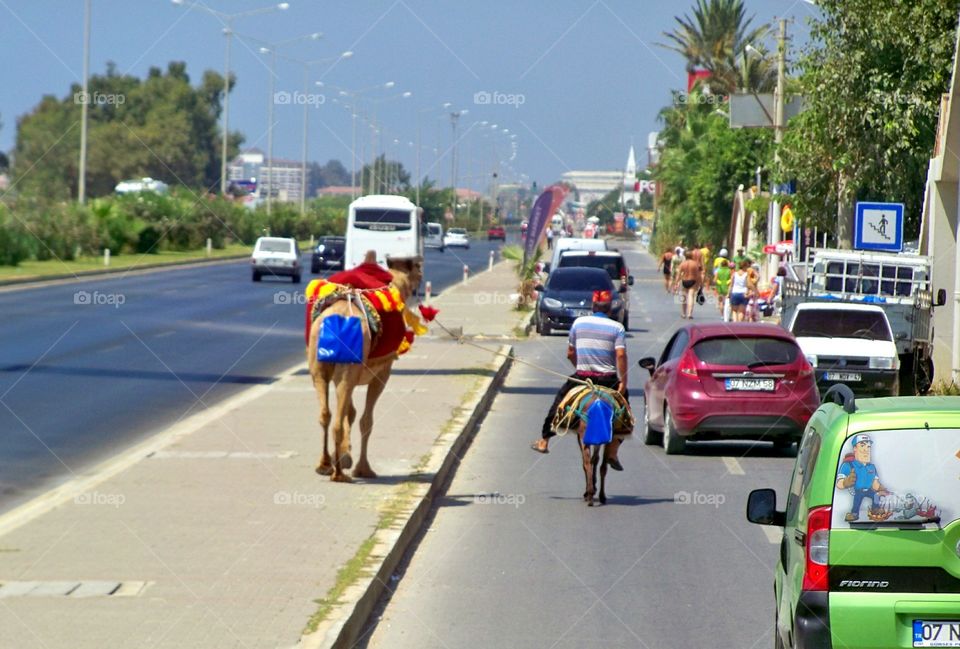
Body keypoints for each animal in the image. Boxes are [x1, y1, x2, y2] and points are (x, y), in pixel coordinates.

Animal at [308, 256, 424, 480]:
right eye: (417, 268)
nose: (420, 280)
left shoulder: (349, 375)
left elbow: (350, 413)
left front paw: (346, 457)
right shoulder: (382, 373)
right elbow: (365, 420)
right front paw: (363, 468)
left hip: (321, 369)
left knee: (325, 414)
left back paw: (324, 464)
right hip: (350, 369)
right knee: (338, 419)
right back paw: (339, 474)